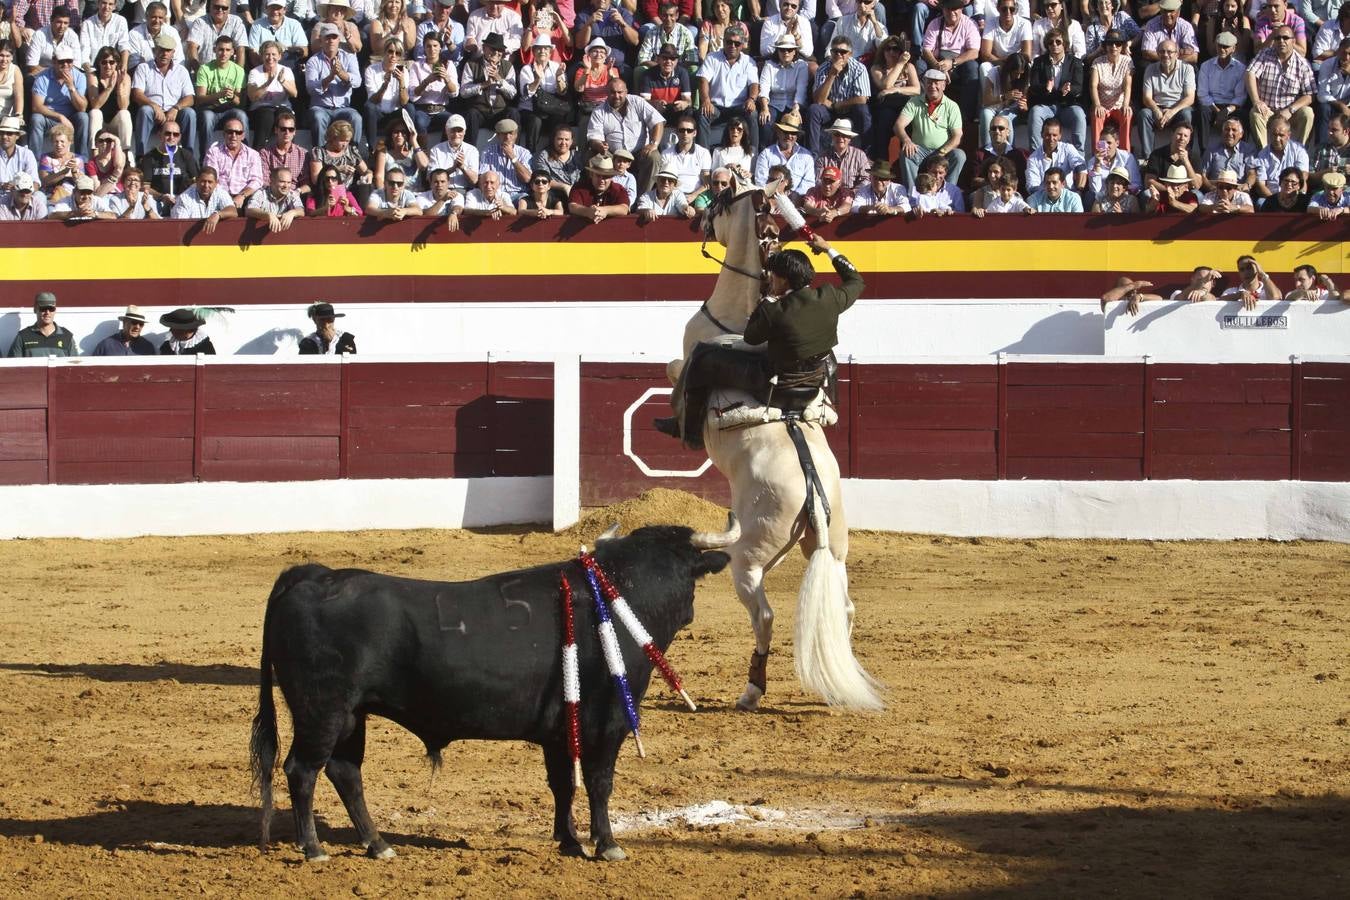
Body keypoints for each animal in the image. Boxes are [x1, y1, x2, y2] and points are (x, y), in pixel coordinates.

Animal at [243, 528, 729, 863]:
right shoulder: (604, 722)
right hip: (322, 710)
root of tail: (314, 575)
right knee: (302, 770)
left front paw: (569, 840)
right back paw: (314, 849)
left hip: (350, 715)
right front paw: (606, 845)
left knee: (345, 772)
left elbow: (562, 784)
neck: (618, 593)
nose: (690, 612)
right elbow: (598, 782)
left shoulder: (559, 730)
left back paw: (377, 844)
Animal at [666, 183, 885, 712]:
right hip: (833, 548)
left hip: (748, 559)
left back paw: (751, 690)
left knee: (763, 615)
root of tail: (812, 490)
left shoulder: (685, 359)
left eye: (720, 201)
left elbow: (673, 372)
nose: (696, 218)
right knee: (846, 607)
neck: (736, 314)